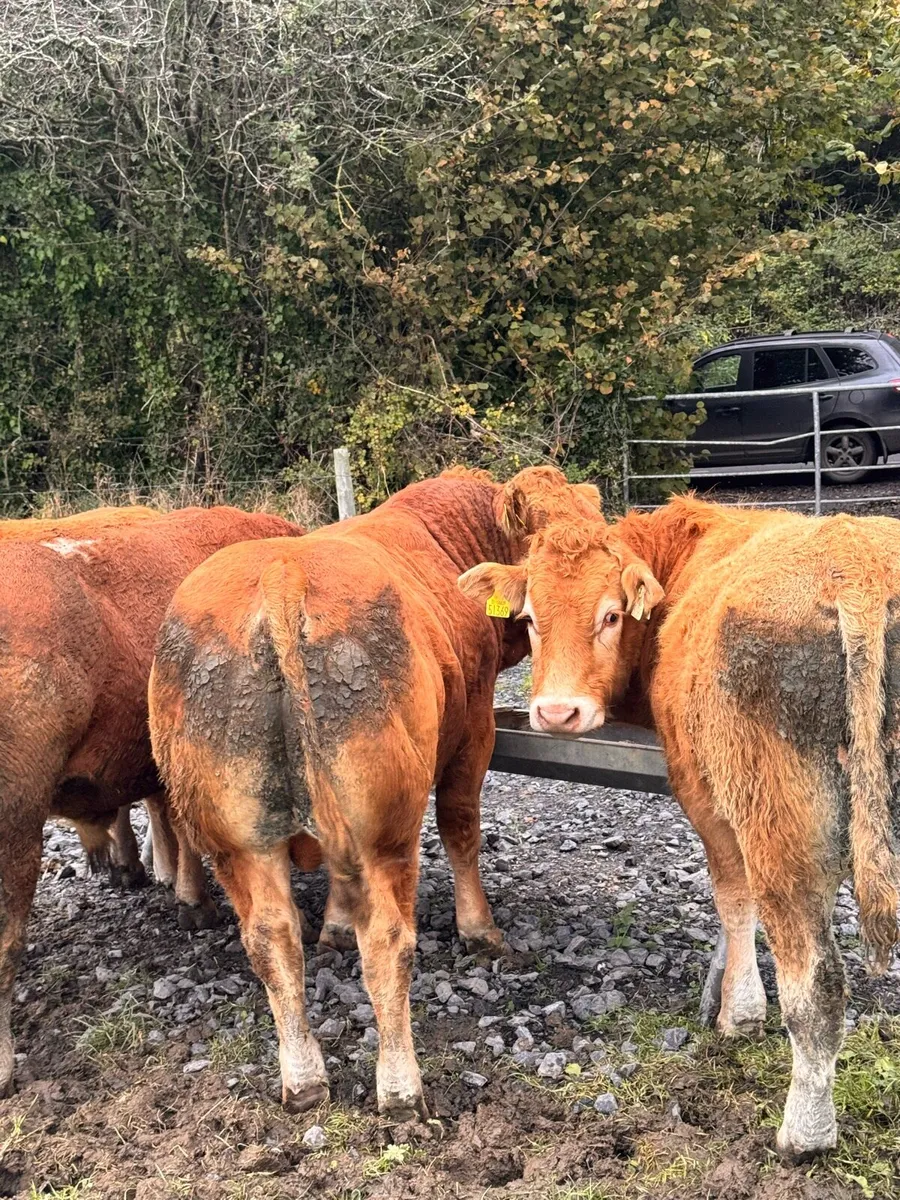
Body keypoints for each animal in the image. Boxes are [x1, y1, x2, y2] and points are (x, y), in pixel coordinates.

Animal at [148, 467, 601, 1119]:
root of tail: (281, 571)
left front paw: (335, 926)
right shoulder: (475, 730)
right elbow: (461, 828)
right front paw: (480, 930)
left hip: (237, 836)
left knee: (270, 937)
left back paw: (304, 1079)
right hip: (386, 826)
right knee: (388, 940)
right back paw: (401, 1088)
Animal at [459, 495, 900, 1162]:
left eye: (611, 615)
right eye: (530, 617)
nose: (557, 713)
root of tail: (860, 565)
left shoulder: (707, 796)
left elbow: (734, 900)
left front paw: (739, 1012)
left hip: (782, 826)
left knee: (816, 983)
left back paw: (804, 1134)